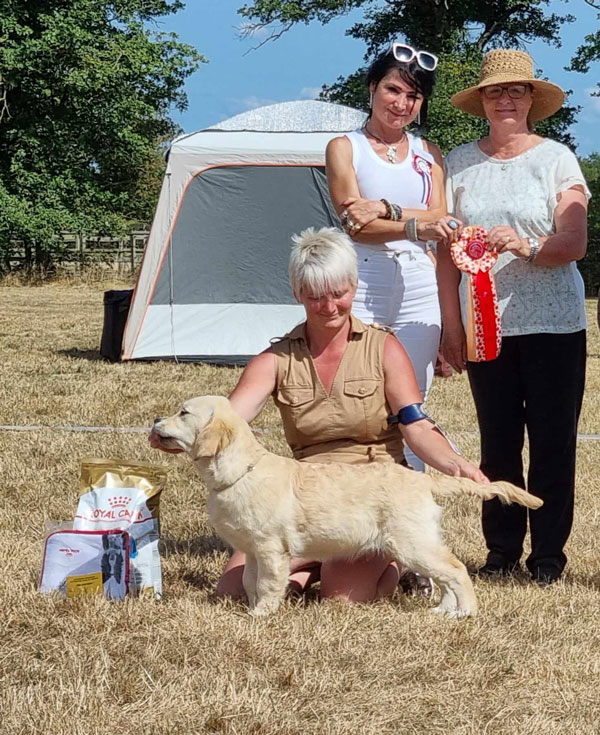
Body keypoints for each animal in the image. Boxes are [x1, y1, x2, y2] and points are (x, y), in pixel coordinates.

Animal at [151, 394, 544, 620]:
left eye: (183, 412)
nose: (154, 421)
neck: (239, 470)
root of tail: (423, 481)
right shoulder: (250, 550)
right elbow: (248, 580)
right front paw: (251, 607)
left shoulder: (271, 547)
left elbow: (267, 584)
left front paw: (260, 615)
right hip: (421, 543)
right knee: (445, 575)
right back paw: (444, 611)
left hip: (412, 543)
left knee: (457, 570)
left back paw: (467, 613)